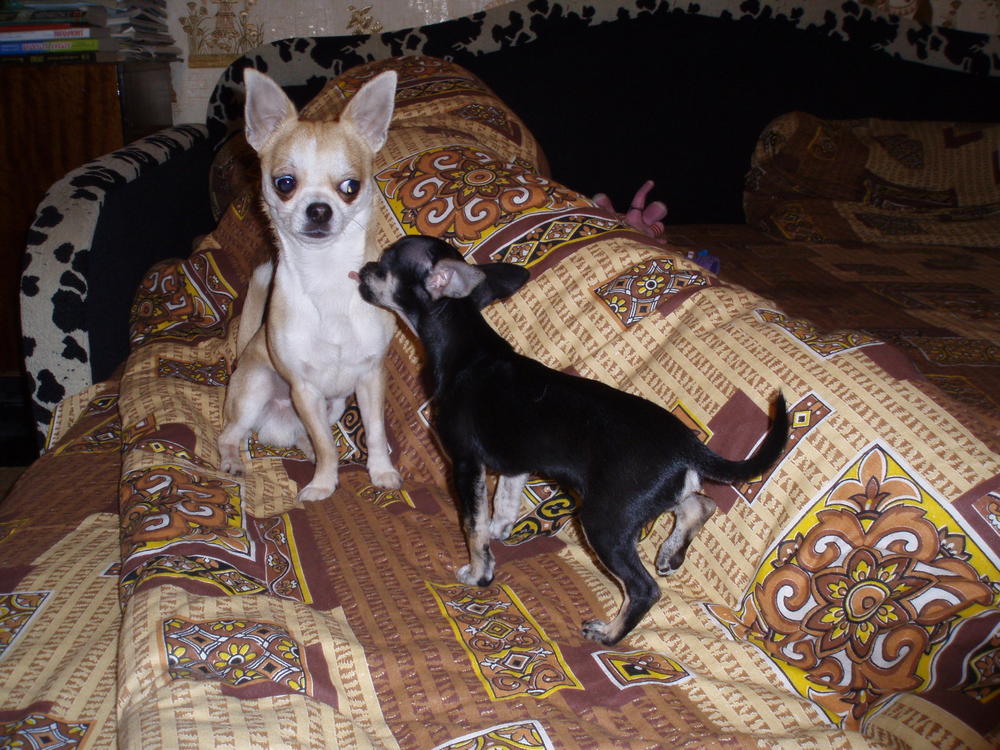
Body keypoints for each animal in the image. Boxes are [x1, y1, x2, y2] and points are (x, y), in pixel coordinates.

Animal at [218, 68, 402, 501]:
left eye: (350, 187)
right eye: (284, 183)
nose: (319, 209)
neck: (326, 273)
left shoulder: (370, 378)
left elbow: (374, 432)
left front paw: (381, 472)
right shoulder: (304, 389)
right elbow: (327, 444)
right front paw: (323, 483)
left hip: (333, 404)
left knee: (307, 438)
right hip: (256, 389)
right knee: (229, 436)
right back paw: (234, 461)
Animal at [357, 235, 789, 644]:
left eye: (386, 265)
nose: (361, 269)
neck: (465, 346)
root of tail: (688, 444)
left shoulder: (465, 464)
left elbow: (472, 525)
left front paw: (479, 573)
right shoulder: (516, 464)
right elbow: (504, 503)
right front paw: (500, 532)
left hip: (604, 520)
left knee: (645, 588)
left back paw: (610, 633)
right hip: (647, 498)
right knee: (700, 503)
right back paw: (670, 554)